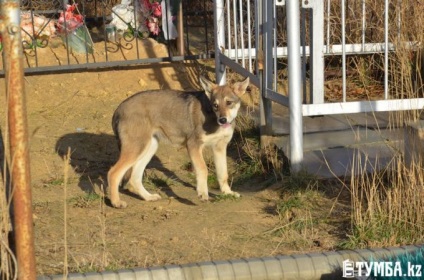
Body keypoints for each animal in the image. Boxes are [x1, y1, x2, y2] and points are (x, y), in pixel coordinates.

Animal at [107, 75, 250, 208]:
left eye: (229, 103)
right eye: (215, 105)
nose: (222, 120)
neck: (211, 117)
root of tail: (118, 109)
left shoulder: (220, 148)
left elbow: (223, 174)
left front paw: (227, 193)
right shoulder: (193, 145)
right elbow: (203, 169)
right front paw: (203, 193)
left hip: (148, 148)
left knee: (134, 178)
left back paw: (148, 197)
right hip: (136, 149)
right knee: (113, 173)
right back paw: (116, 202)